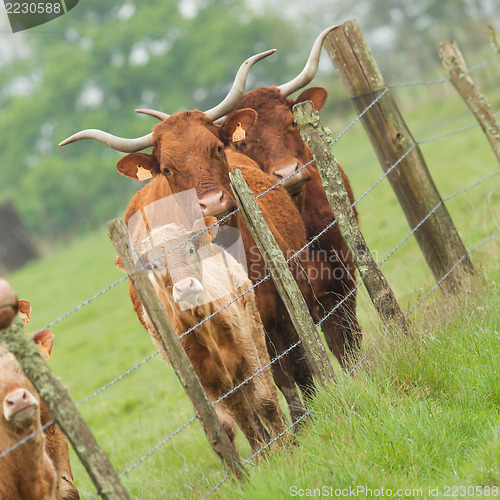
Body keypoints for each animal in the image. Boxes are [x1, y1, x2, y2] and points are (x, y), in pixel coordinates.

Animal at [59, 50, 316, 420]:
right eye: (167, 168)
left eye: (218, 149)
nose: (213, 203)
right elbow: (275, 381)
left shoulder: (282, 312)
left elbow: (298, 369)